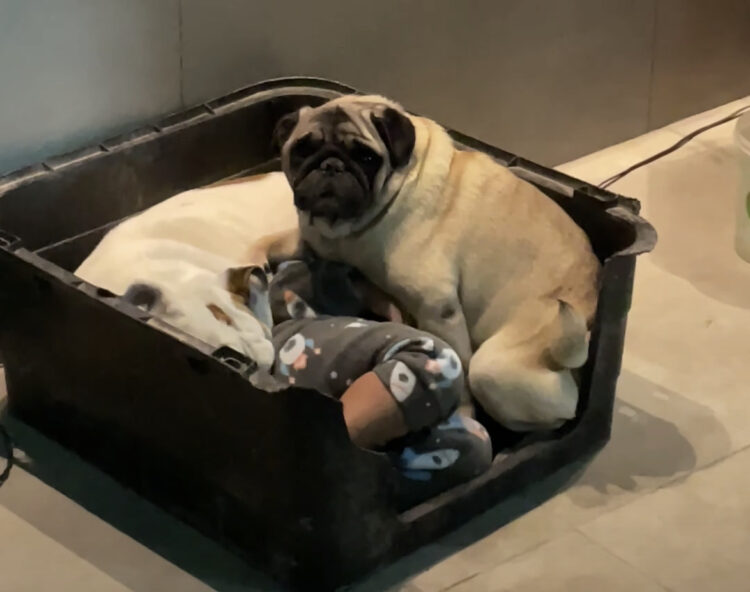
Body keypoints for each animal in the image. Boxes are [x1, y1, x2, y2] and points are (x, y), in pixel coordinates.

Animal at [271, 95, 601, 430]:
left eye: (366, 157)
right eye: (302, 150)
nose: (331, 165)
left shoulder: (438, 310)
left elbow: (457, 366)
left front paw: (462, 415)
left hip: (492, 368)